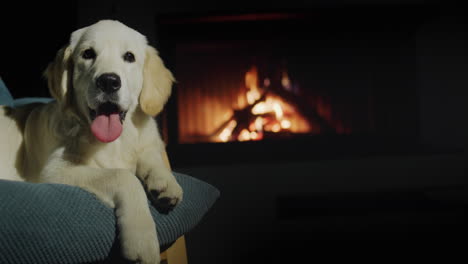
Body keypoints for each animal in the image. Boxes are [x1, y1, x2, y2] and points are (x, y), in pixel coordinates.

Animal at [0, 19, 183, 262]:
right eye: (88, 54)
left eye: (129, 56)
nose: (108, 81)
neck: (116, 141)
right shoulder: (55, 171)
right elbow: (124, 176)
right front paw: (141, 239)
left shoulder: (147, 143)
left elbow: (150, 156)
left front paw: (165, 182)